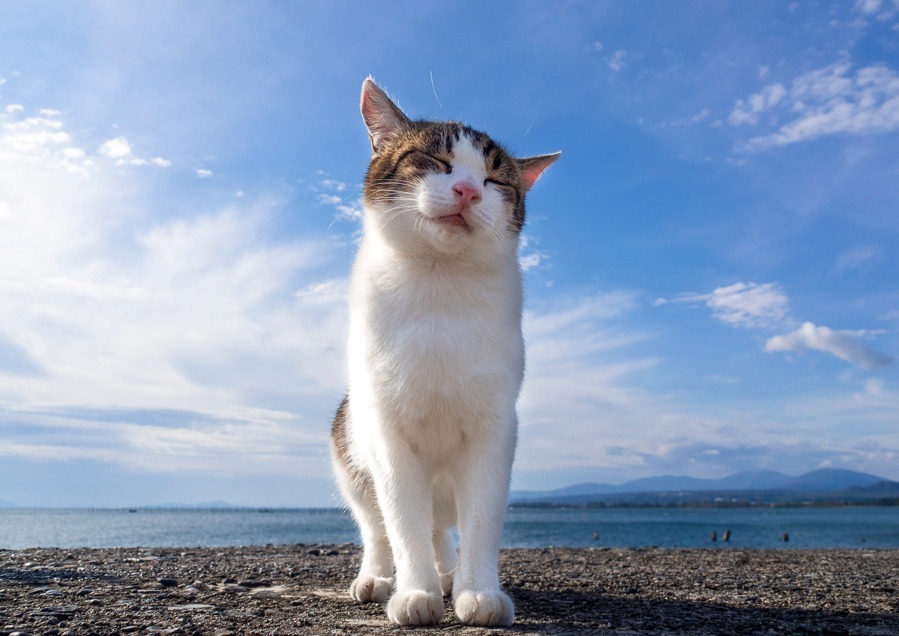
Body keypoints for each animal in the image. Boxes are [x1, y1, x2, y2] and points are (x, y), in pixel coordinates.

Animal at [326, 78, 560, 628]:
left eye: (495, 181)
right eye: (436, 160)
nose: (469, 190)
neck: (440, 280)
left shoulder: (495, 428)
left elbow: (482, 520)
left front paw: (478, 591)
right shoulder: (387, 431)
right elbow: (402, 523)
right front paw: (415, 592)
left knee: (440, 530)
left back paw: (449, 575)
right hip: (352, 452)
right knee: (381, 528)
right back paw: (379, 579)